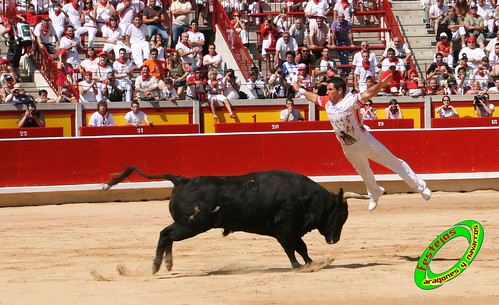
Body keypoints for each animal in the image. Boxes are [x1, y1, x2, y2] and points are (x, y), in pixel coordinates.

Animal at [103, 166, 368, 274]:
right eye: (341, 215)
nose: (334, 240)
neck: (306, 198)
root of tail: (182, 181)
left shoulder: (291, 230)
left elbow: (302, 248)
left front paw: (315, 262)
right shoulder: (285, 229)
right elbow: (292, 249)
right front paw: (300, 266)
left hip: (189, 225)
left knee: (167, 236)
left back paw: (166, 264)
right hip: (191, 225)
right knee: (165, 234)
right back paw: (158, 265)